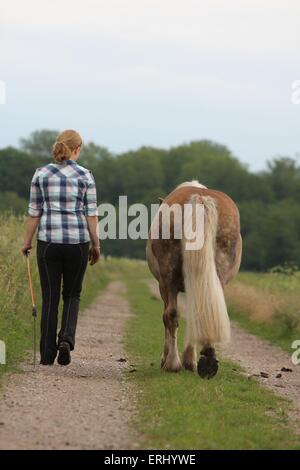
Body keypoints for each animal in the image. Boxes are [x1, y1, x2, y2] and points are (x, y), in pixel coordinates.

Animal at [146, 180, 243, 378]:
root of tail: (200, 198)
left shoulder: (163, 286)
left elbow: (168, 316)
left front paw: (171, 359)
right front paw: (189, 360)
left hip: (168, 280)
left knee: (171, 314)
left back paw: (173, 363)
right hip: (215, 277)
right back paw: (207, 361)